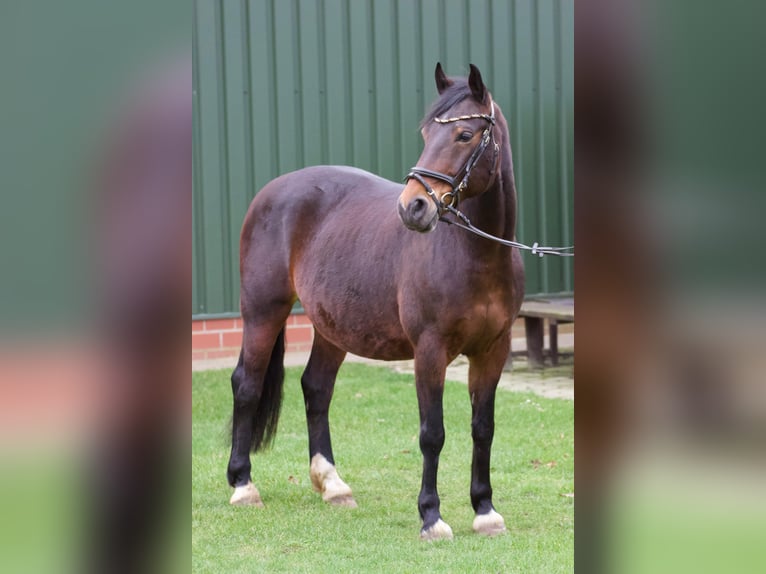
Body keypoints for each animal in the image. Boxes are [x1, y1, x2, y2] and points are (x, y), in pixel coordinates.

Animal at [226, 63, 524, 541]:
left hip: (331, 326)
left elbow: (484, 429)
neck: (476, 255)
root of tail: (272, 191)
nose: (413, 208)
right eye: (426, 133)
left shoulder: (492, 351)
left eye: (464, 135)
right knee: (246, 385)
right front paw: (431, 517)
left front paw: (485, 510)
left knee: (316, 388)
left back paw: (332, 485)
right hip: (262, 311)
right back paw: (242, 485)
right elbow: (432, 433)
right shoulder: (430, 350)